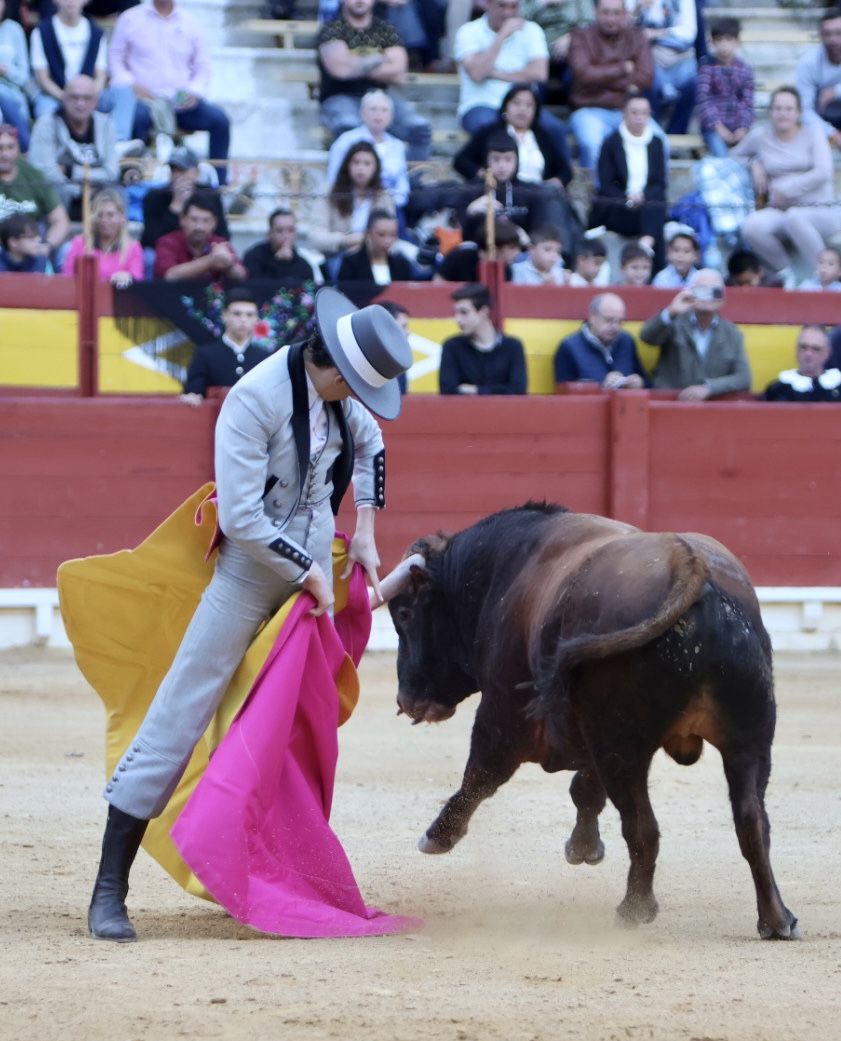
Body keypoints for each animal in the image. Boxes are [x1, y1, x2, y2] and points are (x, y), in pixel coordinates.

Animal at [385, 503, 799, 945]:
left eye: (405, 614)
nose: (406, 700)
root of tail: (690, 566)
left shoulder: (503, 714)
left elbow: (480, 777)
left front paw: (436, 836)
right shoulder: (588, 734)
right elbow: (584, 787)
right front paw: (583, 848)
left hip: (622, 747)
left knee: (643, 827)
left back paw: (635, 909)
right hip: (748, 740)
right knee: (752, 822)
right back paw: (777, 919)